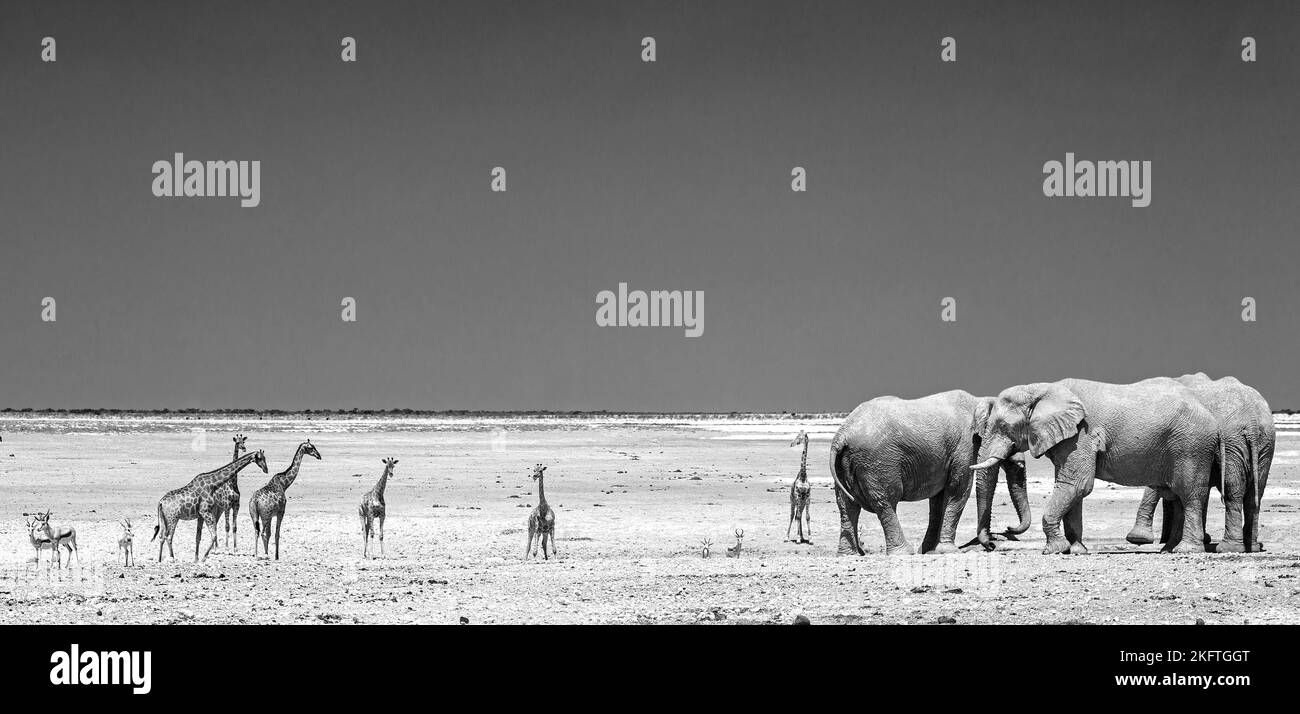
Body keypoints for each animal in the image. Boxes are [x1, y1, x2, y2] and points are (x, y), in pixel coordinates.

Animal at [826, 392, 1029, 554]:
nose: (993, 544)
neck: (981, 401)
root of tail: (841, 436)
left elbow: (939, 499)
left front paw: (929, 551)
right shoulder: (964, 447)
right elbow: (959, 490)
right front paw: (948, 551)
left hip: (847, 463)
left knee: (847, 505)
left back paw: (850, 554)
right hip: (877, 462)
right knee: (885, 501)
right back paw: (904, 553)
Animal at [972, 379, 1222, 551]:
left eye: (1004, 426)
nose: (995, 542)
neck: (1042, 389)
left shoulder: (1081, 433)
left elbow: (1077, 484)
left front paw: (1055, 550)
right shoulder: (1067, 438)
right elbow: (1072, 488)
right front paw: (1076, 551)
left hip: (1191, 446)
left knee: (1189, 494)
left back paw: (1186, 550)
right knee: (1178, 497)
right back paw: (1168, 551)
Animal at [1123, 371, 1274, 551]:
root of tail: (1251, 419)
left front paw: (1142, 540)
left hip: (1234, 441)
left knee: (1233, 491)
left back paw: (1228, 548)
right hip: (1263, 443)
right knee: (1254, 493)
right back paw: (1252, 547)